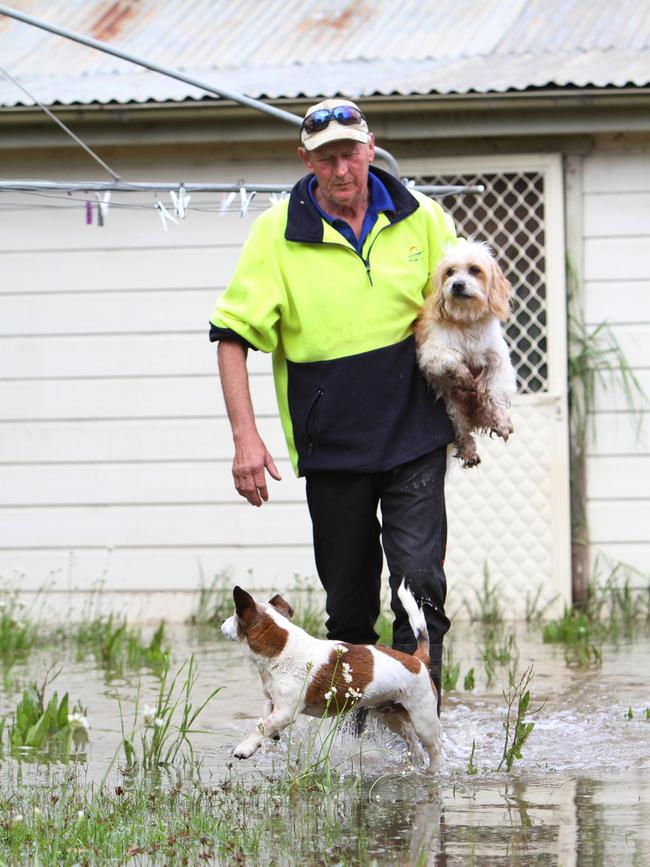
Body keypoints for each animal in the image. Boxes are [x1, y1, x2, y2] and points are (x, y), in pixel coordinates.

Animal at [416, 241, 516, 468]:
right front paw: (464, 377)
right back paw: (469, 452)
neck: (467, 319)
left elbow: (497, 393)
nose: (457, 285)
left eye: (474, 270)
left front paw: (502, 421)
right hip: (454, 409)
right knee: (463, 431)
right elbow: (453, 359)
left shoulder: (498, 360)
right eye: (450, 272)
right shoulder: (431, 355)